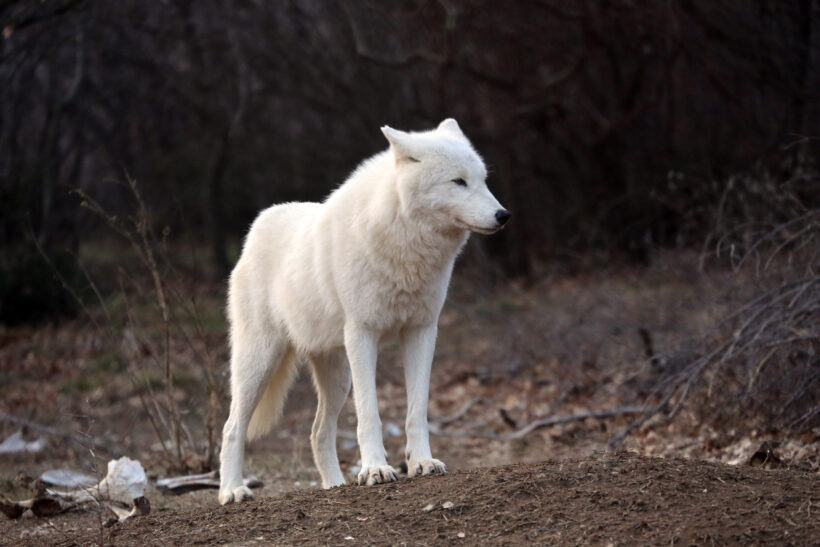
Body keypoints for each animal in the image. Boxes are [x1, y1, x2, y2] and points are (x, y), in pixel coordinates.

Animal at [221, 119, 510, 506]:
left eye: (482, 180)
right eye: (458, 182)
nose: (503, 216)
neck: (405, 245)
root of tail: (257, 226)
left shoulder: (423, 331)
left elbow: (417, 410)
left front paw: (421, 463)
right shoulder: (363, 334)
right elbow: (370, 413)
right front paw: (376, 470)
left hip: (337, 376)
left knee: (318, 432)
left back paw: (334, 486)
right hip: (261, 362)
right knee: (232, 428)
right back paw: (231, 491)